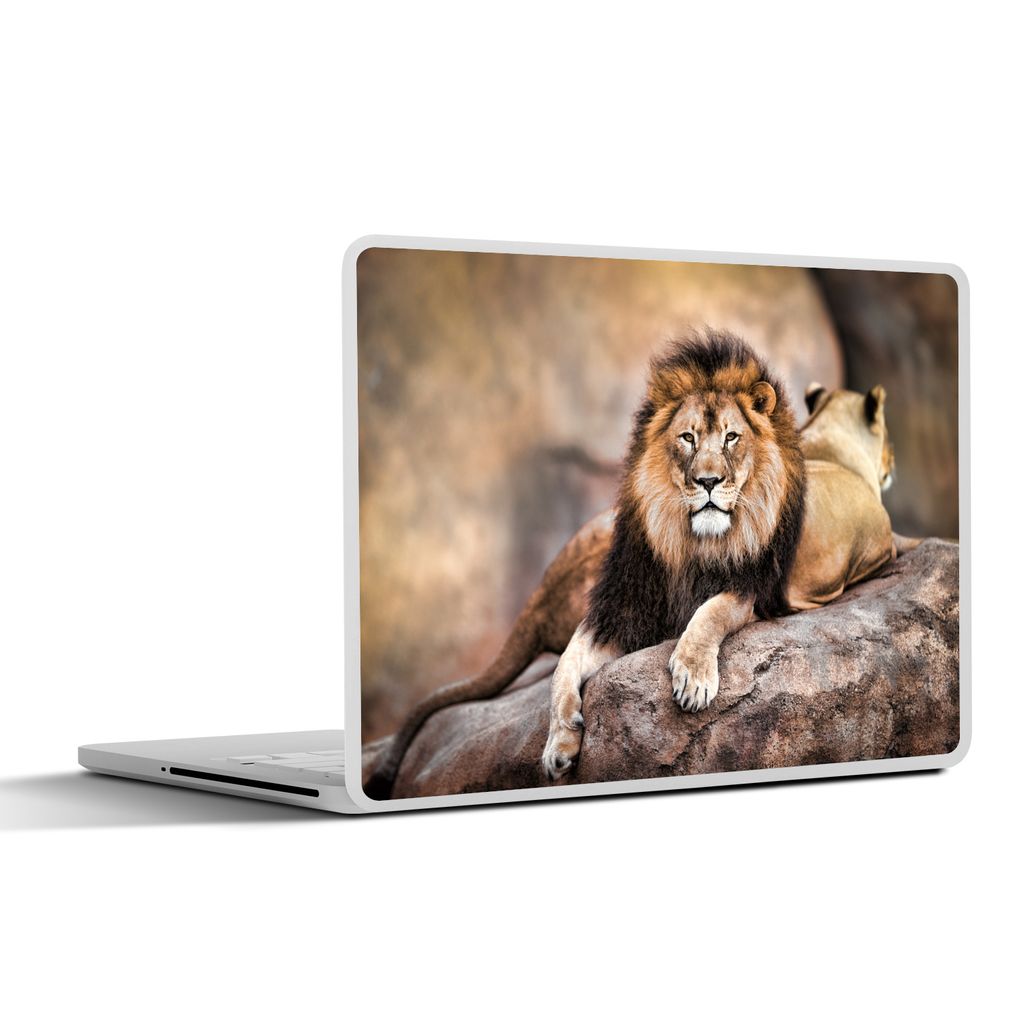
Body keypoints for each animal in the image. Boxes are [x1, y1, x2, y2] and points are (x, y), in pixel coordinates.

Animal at [364, 330, 905, 798]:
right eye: (688, 438)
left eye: (732, 438)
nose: (708, 482)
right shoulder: (621, 610)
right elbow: (565, 666)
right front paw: (559, 743)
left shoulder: (752, 586)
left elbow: (709, 613)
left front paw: (691, 675)